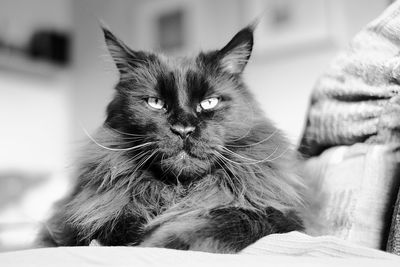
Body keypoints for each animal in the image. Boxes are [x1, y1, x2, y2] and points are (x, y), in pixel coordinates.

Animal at [38, 23, 306, 253]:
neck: (177, 192)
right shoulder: (71, 221)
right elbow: (105, 227)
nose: (183, 129)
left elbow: (225, 219)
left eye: (209, 102)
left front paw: (161, 242)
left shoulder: (278, 214)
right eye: (156, 103)